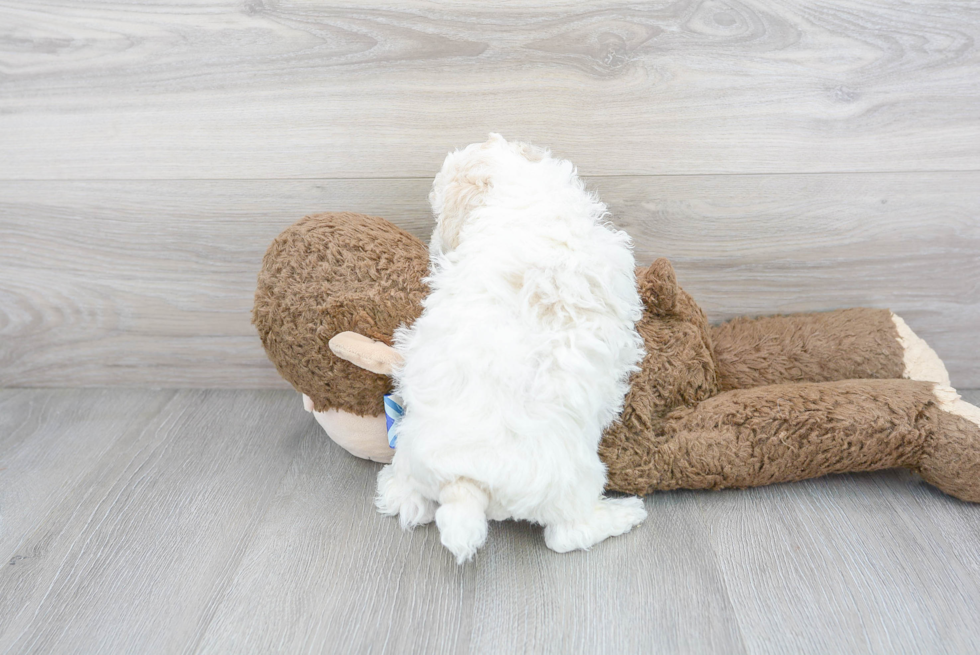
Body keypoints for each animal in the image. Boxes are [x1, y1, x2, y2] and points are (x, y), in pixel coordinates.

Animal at [378, 135, 648, 564]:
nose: (434, 247)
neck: (521, 194)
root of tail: (463, 482)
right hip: (575, 481)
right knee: (566, 536)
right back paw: (624, 514)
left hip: (410, 450)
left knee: (404, 496)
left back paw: (399, 492)